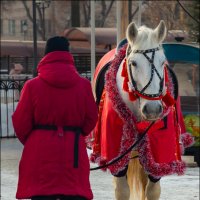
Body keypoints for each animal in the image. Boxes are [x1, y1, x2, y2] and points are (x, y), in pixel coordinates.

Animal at [90, 20, 193, 200]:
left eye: (162, 62)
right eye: (133, 63)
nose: (152, 109)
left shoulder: (159, 152)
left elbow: (152, 190)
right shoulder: (116, 150)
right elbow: (122, 190)